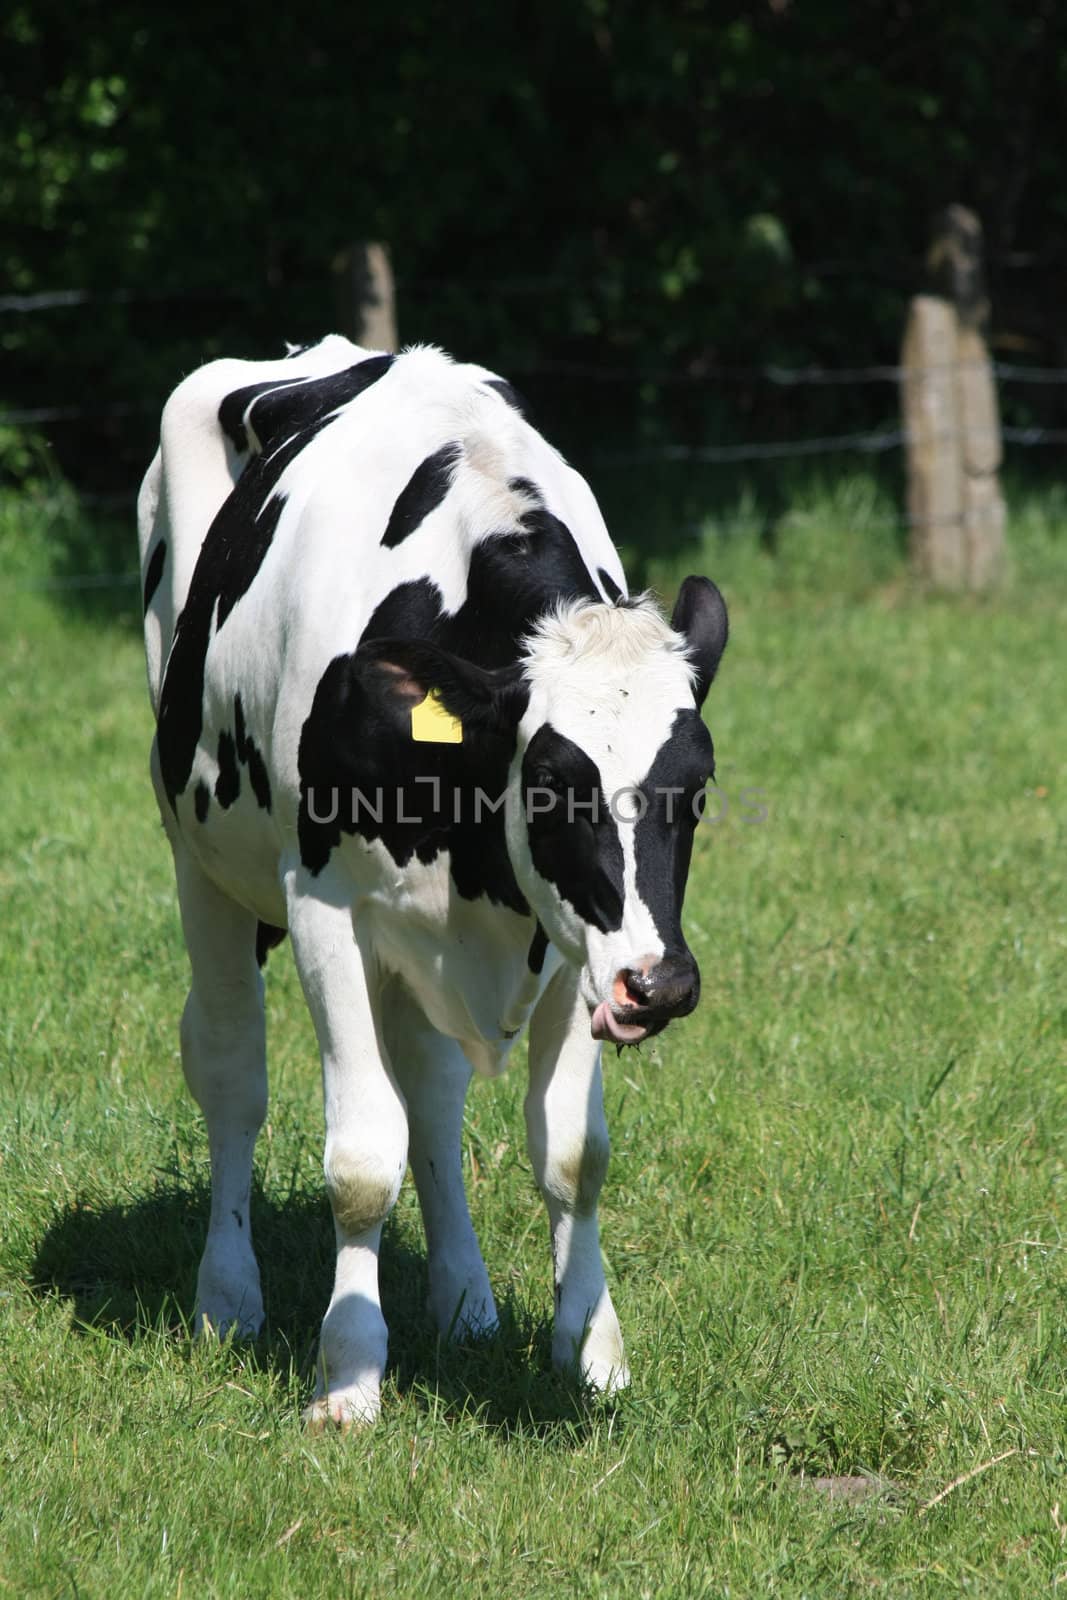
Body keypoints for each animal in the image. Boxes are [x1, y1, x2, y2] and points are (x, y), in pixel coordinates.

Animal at [137, 337, 729, 1427]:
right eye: (552, 783)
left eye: (696, 786)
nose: (659, 985)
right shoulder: (323, 905)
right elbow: (361, 1160)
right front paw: (347, 1375)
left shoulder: (572, 939)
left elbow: (570, 1154)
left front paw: (591, 1351)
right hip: (198, 859)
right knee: (232, 1071)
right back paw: (227, 1300)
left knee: (432, 1089)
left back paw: (463, 1299)